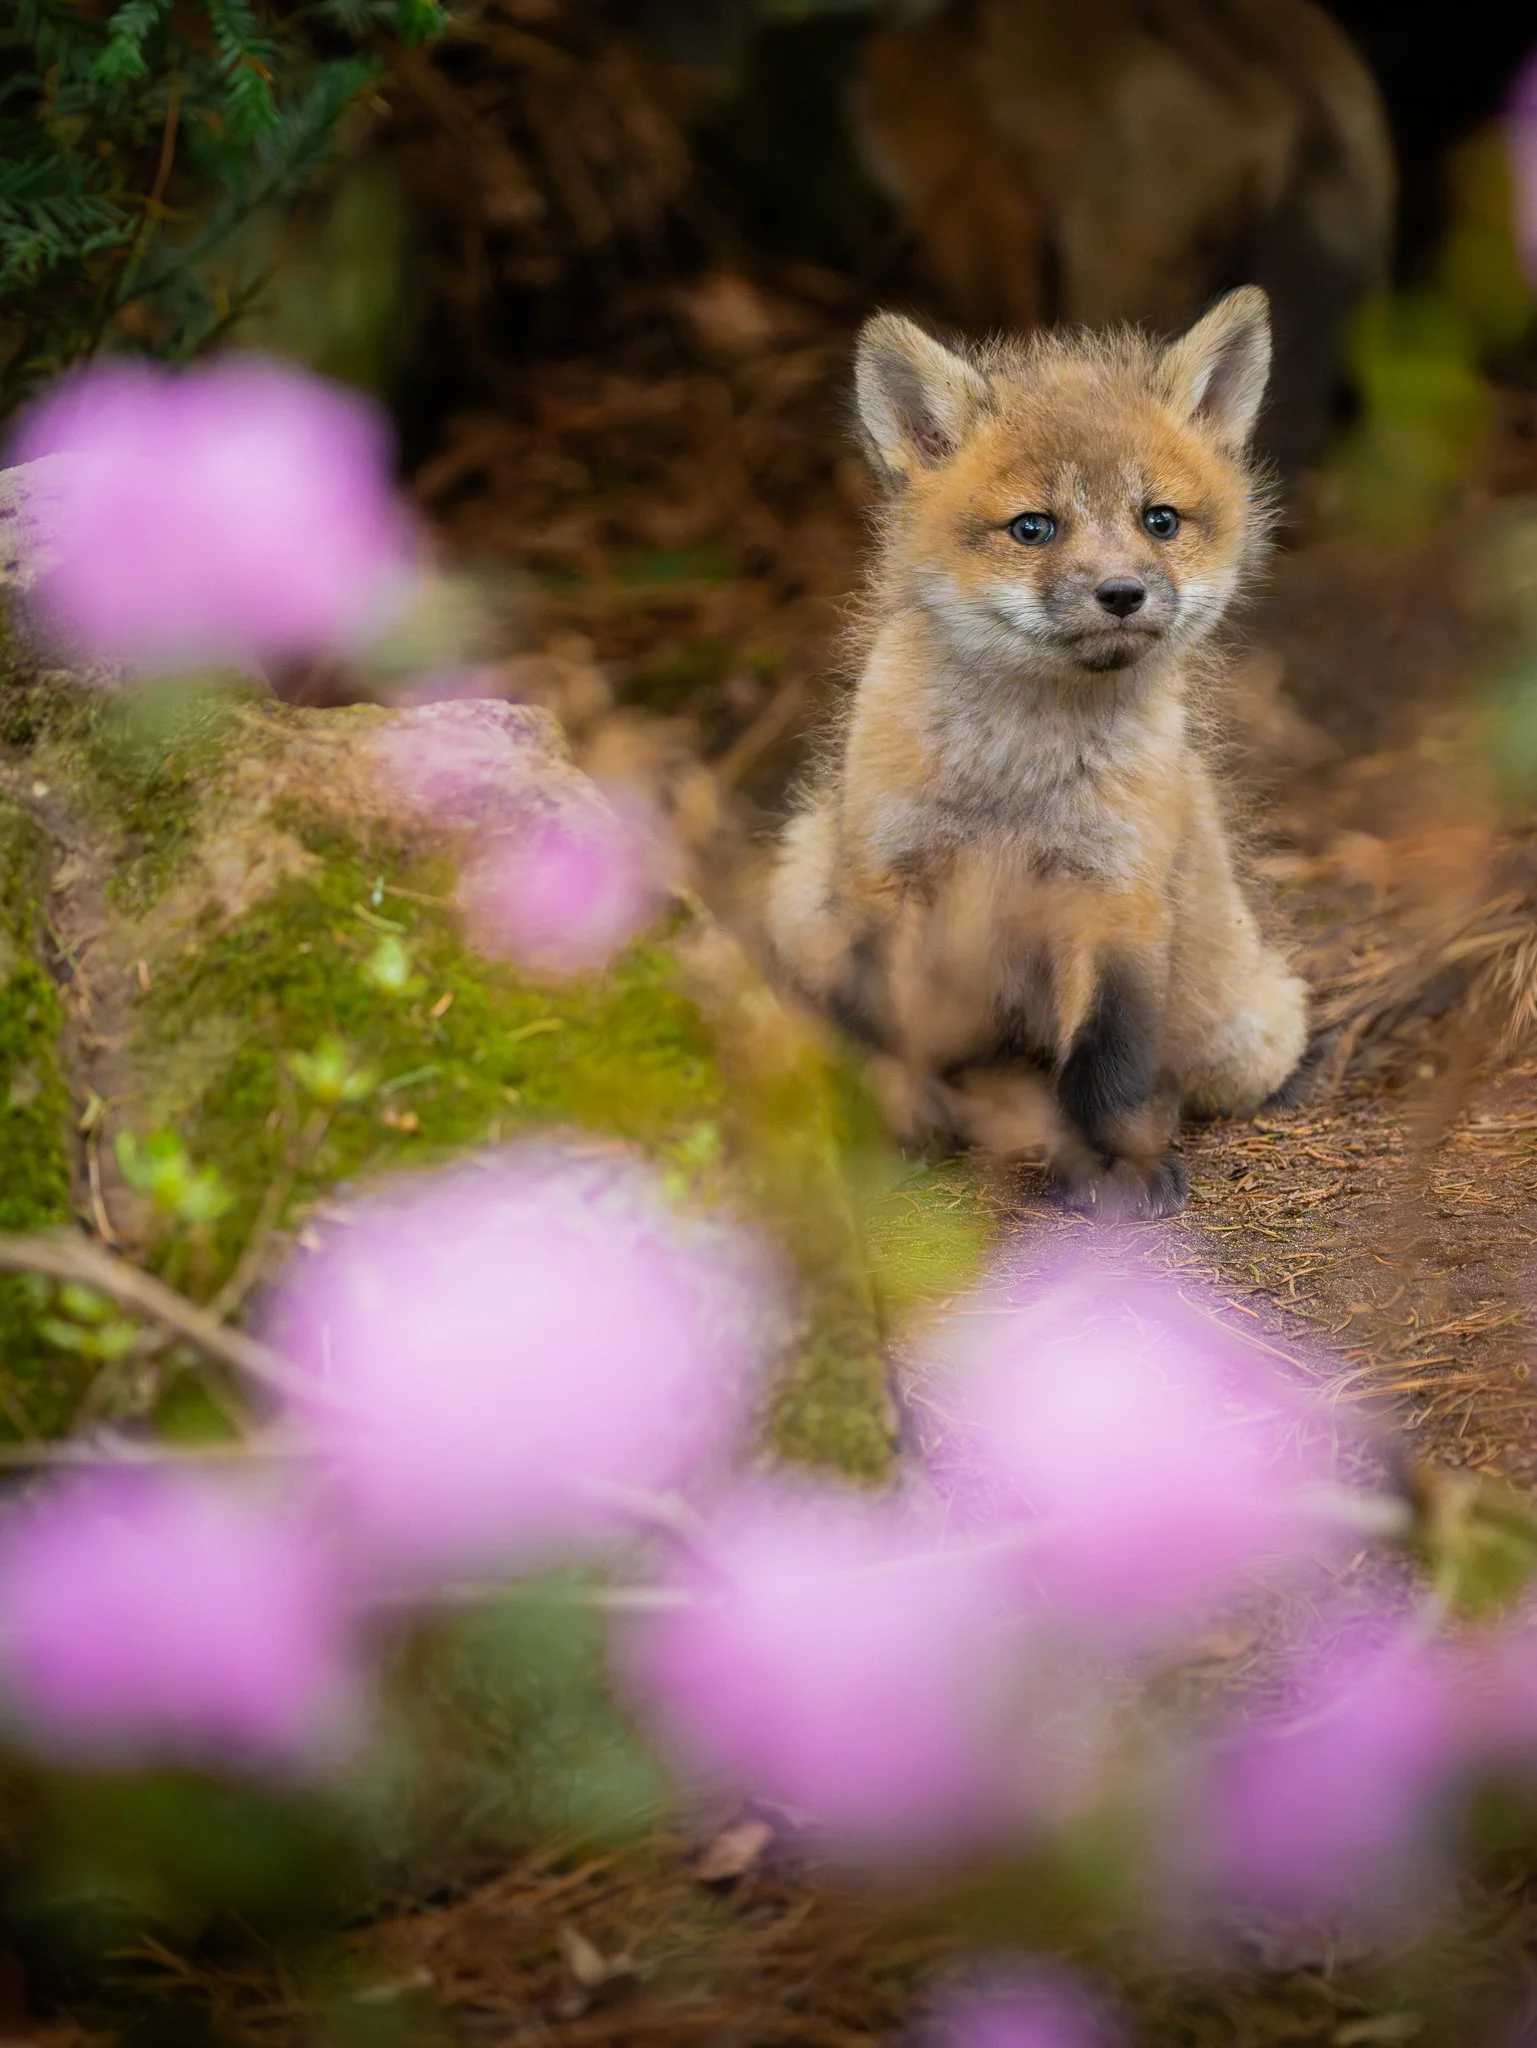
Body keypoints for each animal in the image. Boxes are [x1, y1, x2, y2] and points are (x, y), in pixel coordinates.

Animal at [766, 286, 1308, 1221]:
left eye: (1158, 520)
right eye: (1033, 528)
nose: (1121, 593)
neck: (1013, 784)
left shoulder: (1114, 892)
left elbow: (1109, 1057)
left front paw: (1112, 1163)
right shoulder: (883, 876)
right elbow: (882, 1028)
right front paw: (881, 1133)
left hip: (1236, 1032)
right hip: (798, 891)